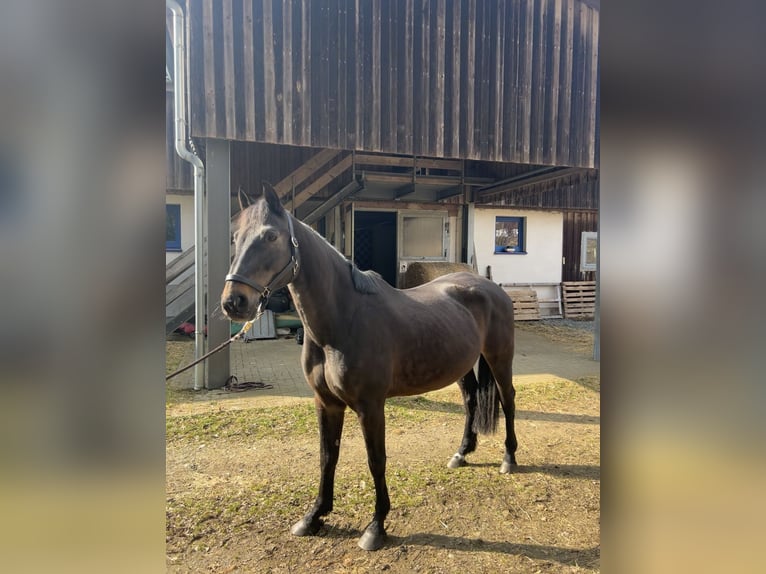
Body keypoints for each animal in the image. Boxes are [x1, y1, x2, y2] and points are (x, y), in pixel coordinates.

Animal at [221, 182, 518, 551]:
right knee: (471, 400)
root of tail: (491, 286)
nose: (234, 302)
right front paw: (314, 516)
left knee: (508, 400)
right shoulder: (327, 404)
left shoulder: (370, 405)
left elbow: (376, 460)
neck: (343, 319)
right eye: (235, 237)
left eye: (271, 236)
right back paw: (462, 453)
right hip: (462, 366)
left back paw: (509, 458)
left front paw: (376, 526)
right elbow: (327, 456)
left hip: (500, 357)